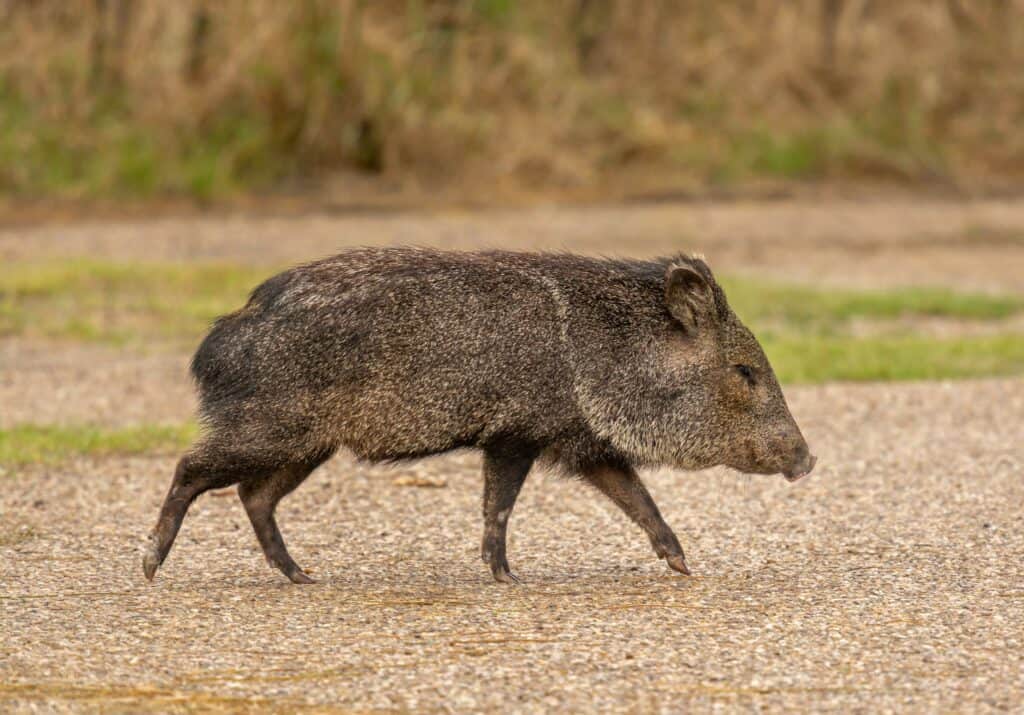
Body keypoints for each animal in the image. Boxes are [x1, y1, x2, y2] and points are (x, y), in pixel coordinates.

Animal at [143, 248, 815, 584]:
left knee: (254, 496)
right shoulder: (521, 432)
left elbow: (637, 500)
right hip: (274, 428)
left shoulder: (575, 440)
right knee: (192, 469)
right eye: (745, 372)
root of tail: (223, 335)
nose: (807, 460)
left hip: (308, 443)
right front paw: (506, 577)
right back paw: (151, 564)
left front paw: (681, 564)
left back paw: (301, 576)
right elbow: (502, 505)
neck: (601, 351)